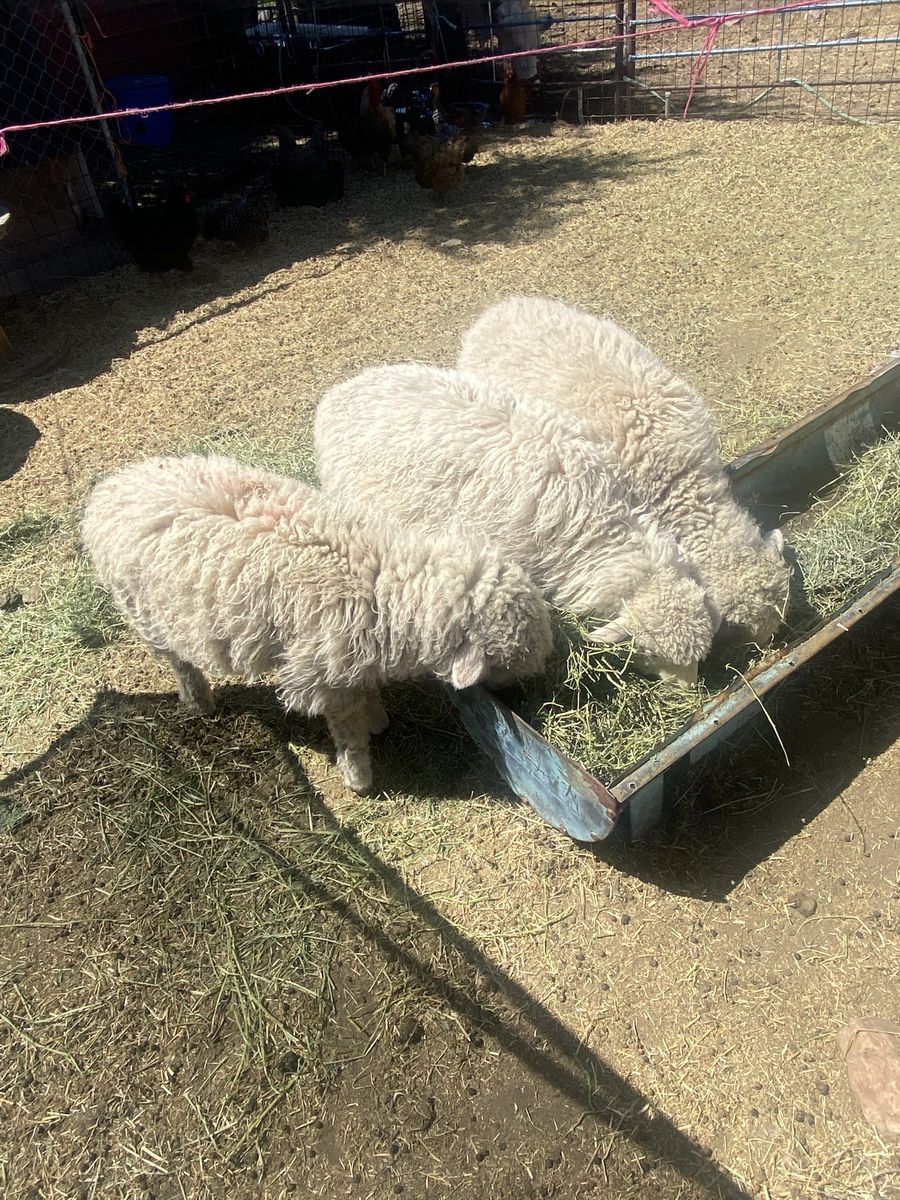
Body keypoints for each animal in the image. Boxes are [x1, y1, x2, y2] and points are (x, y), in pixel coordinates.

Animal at [80, 453, 552, 793]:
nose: (527, 694)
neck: (380, 579)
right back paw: (200, 701)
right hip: (146, 613)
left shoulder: (351, 659)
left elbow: (367, 691)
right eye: (507, 663)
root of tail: (108, 491)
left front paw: (378, 718)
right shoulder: (326, 675)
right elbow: (347, 728)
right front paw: (359, 777)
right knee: (180, 663)